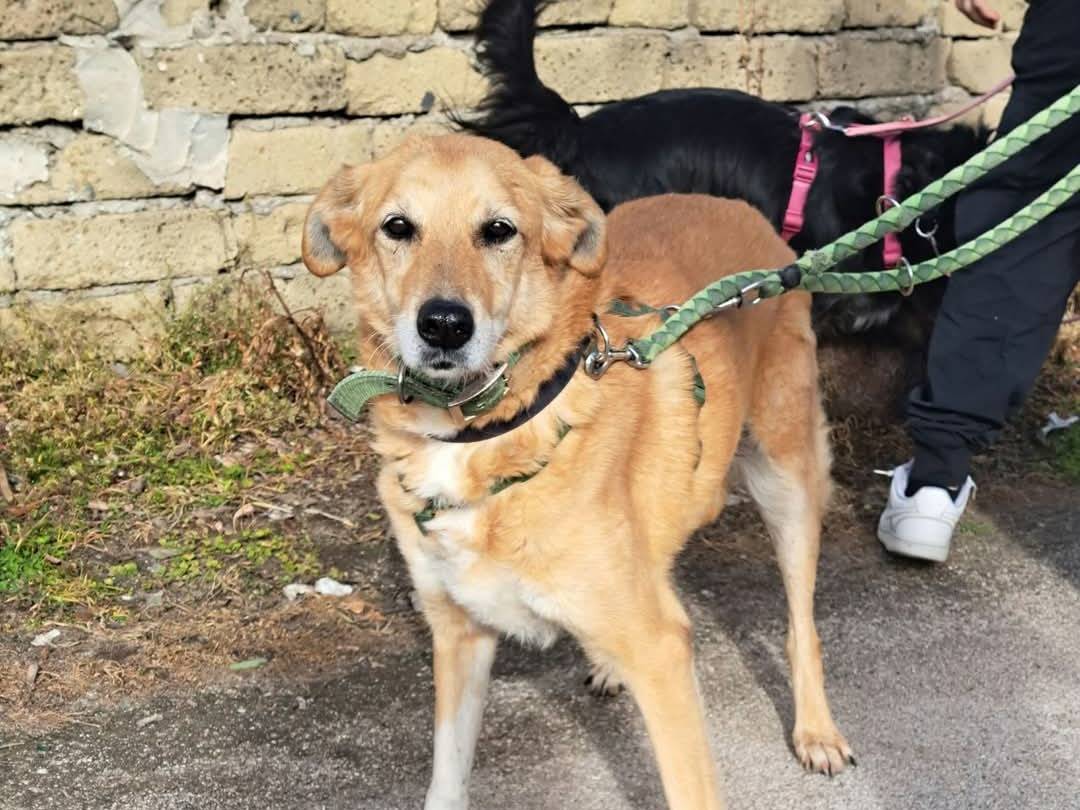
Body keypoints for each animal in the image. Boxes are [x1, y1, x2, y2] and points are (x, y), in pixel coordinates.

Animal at [302, 135, 851, 810]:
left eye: (499, 230)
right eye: (397, 227)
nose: (445, 325)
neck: (486, 432)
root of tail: (741, 211)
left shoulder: (662, 656)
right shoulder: (459, 635)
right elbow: (446, 782)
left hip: (786, 479)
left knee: (802, 622)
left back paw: (816, 729)